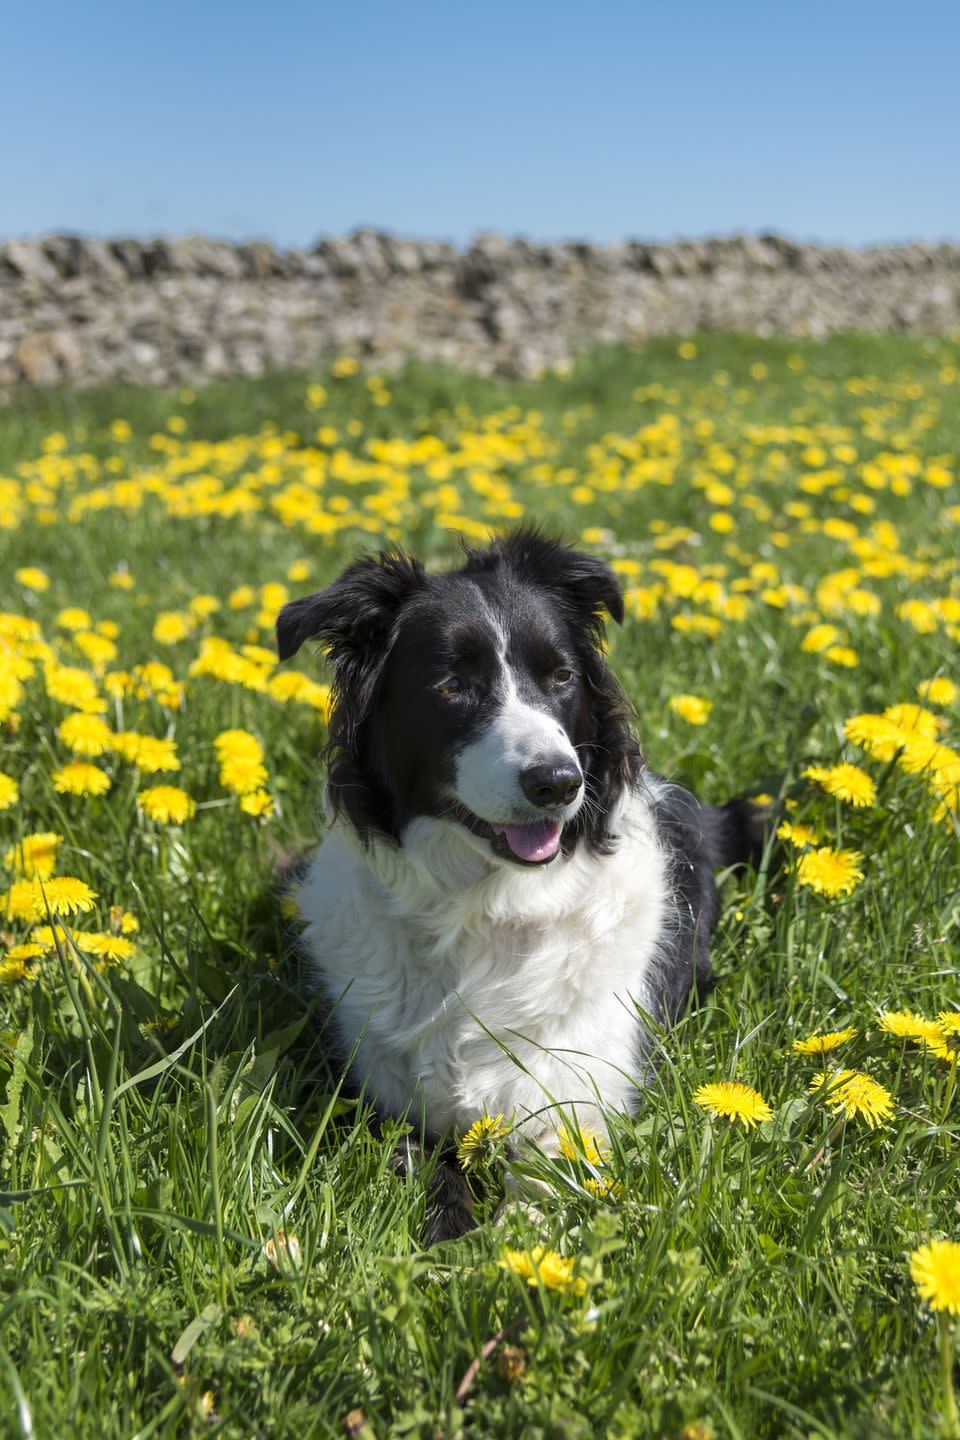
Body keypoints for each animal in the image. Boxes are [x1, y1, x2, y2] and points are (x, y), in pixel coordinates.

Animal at [277, 529, 765, 1238]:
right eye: (453, 684)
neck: (485, 906)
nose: (557, 782)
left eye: (561, 677)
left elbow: (535, 1196)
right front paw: (451, 1239)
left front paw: (503, 1249)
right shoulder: (383, 1095)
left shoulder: (580, 1100)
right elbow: (428, 1171)